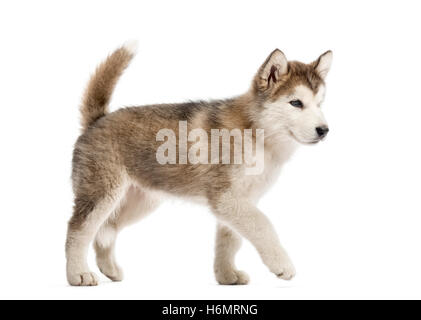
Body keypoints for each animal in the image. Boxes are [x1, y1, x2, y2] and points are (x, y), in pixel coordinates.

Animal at [65, 42, 332, 284]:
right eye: (296, 103)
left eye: (320, 104)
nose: (324, 130)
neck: (258, 134)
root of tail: (98, 120)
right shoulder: (226, 197)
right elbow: (263, 225)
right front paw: (281, 263)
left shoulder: (238, 202)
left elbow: (228, 241)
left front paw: (227, 276)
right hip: (102, 194)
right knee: (78, 231)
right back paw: (78, 274)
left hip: (139, 201)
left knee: (105, 230)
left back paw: (108, 269)